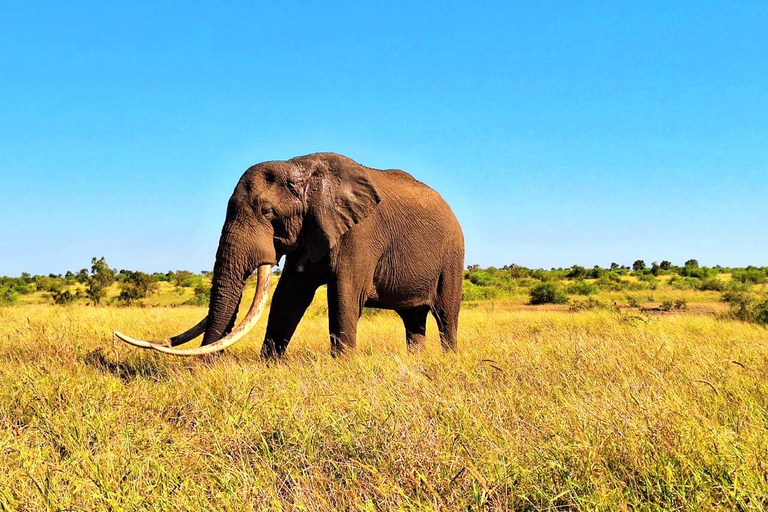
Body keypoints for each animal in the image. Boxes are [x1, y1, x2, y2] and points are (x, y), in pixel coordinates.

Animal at [113, 152, 462, 356]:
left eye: (267, 213)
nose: (205, 370)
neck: (302, 167)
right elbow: (288, 297)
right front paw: (268, 365)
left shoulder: (360, 233)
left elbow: (344, 295)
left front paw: (343, 367)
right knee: (413, 320)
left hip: (453, 255)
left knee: (446, 315)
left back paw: (447, 361)